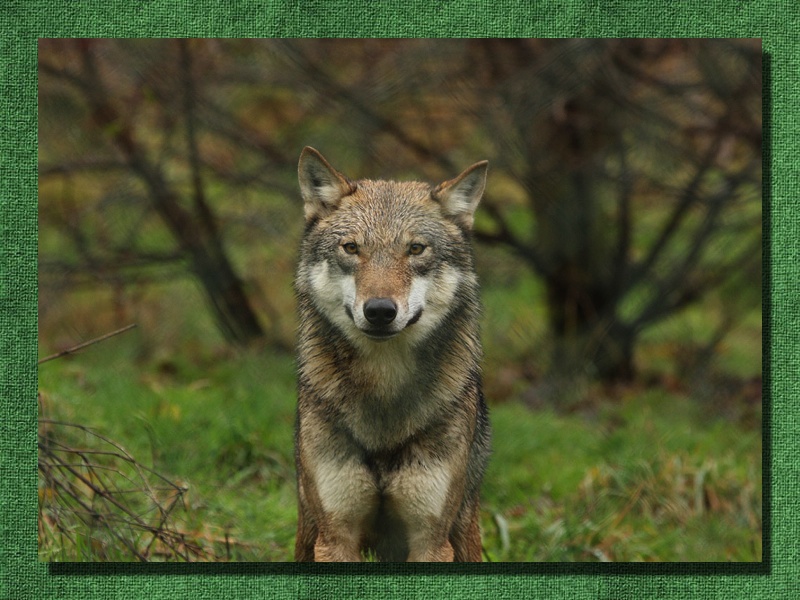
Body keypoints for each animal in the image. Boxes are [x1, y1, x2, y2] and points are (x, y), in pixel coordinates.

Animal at [293, 147, 491, 562]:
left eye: (415, 249)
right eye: (352, 248)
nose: (380, 311)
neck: (384, 387)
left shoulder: (430, 540)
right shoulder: (336, 537)